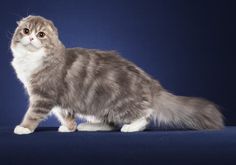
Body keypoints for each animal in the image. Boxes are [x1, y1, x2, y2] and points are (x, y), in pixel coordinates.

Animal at [10, 14, 223, 135]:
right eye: (26, 31)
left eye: (41, 35)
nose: (30, 38)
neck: (32, 59)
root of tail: (149, 81)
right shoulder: (58, 101)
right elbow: (65, 116)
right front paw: (70, 128)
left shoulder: (44, 96)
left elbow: (33, 114)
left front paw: (24, 128)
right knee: (111, 124)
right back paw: (88, 127)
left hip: (118, 103)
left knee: (144, 117)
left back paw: (131, 127)